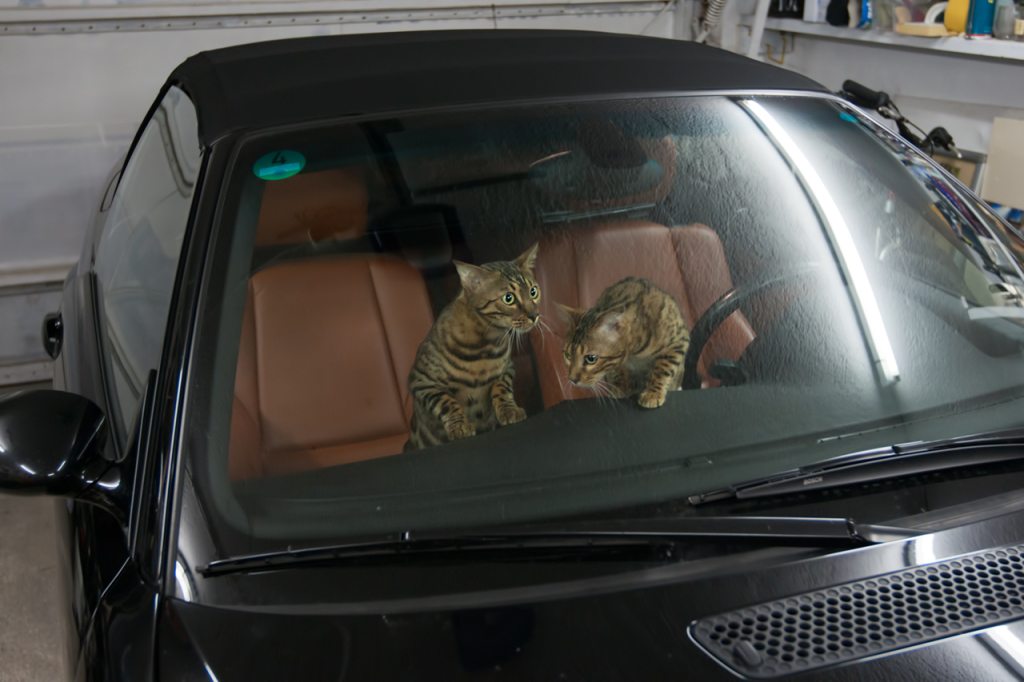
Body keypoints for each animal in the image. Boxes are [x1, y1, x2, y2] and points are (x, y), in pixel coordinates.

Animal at [557, 278, 692, 409]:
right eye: (567, 355)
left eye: (591, 359)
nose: (572, 379)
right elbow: (618, 371)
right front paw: (619, 387)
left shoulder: (679, 341)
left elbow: (663, 370)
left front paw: (653, 393)